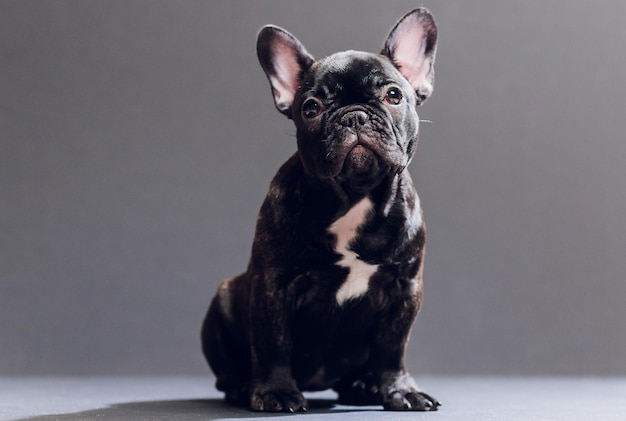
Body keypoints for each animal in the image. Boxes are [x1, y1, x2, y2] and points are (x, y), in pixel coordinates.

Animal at [202, 8, 436, 412]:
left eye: (393, 95)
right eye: (311, 108)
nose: (355, 115)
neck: (354, 196)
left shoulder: (405, 287)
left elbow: (392, 347)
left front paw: (400, 390)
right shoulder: (273, 284)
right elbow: (273, 342)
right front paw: (276, 391)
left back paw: (364, 386)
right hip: (223, 298)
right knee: (227, 373)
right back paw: (243, 387)